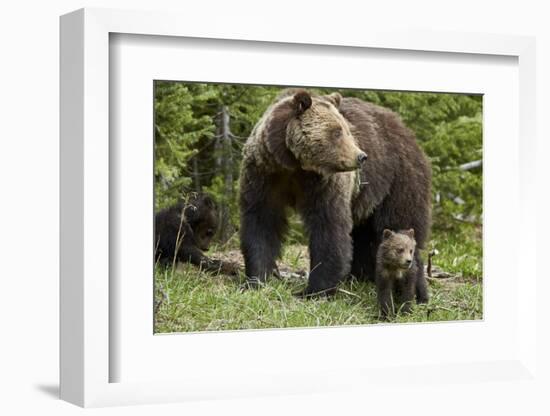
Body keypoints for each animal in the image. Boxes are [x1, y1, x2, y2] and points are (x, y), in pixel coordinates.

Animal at [239, 89, 434, 300]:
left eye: (347, 130)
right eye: (337, 131)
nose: (361, 156)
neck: (294, 165)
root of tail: (407, 130)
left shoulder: (324, 184)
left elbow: (329, 228)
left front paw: (314, 291)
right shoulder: (264, 174)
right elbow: (261, 221)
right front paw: (256, 279)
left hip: (398, 180)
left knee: (399, 224)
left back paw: (416, 291)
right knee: (364, 234)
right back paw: (360, 276)